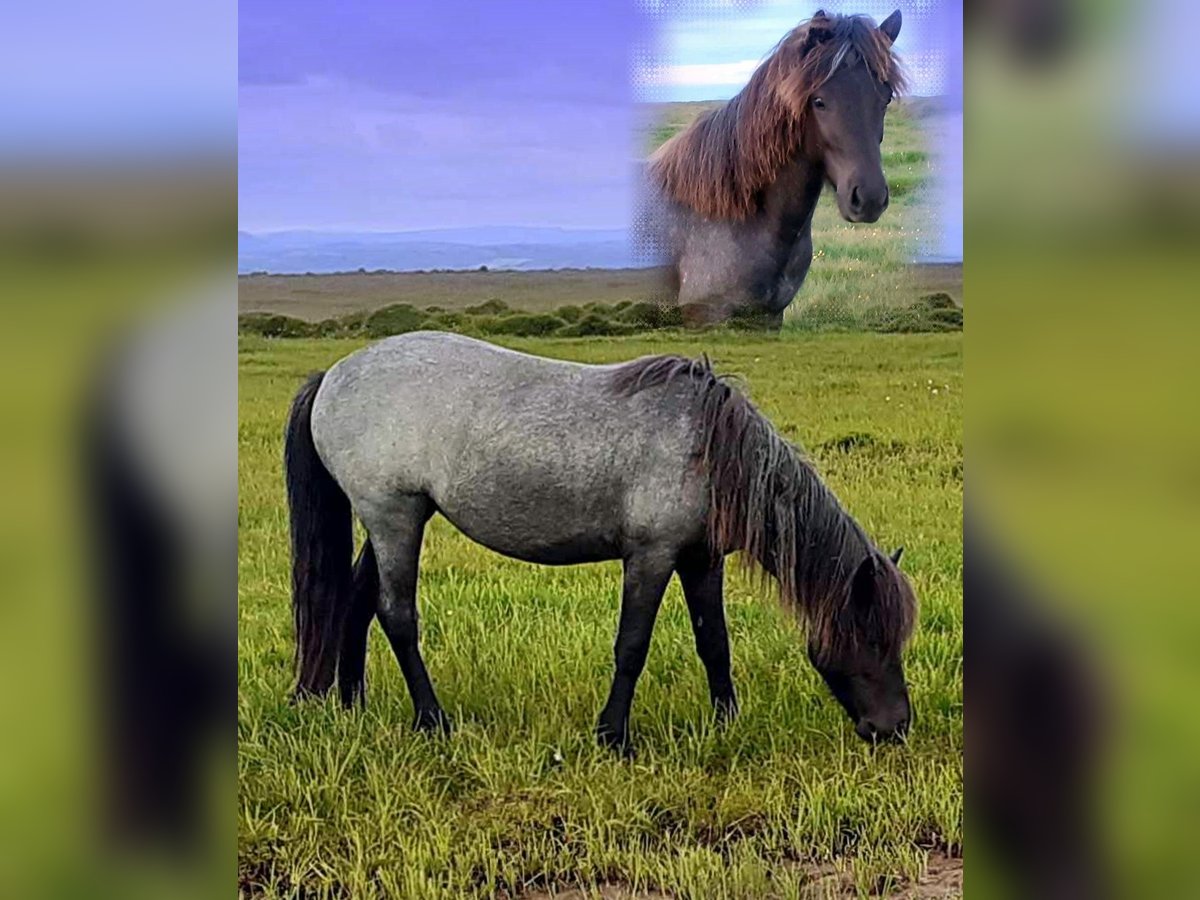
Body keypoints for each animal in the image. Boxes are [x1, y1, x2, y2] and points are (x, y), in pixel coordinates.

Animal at [283, 331, 916, 753]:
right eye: (869, 635)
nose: (895, 727)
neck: (709, 448)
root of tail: (333, 374)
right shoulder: (651, 556)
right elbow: (632, 646)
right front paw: (613, 737)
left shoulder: (700, 559)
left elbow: (714, 642)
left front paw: (726, 723)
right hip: (394, 516)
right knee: (397, 614)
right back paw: (432, 721)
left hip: (391, 522)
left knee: (357, 600)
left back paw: (351, 704)